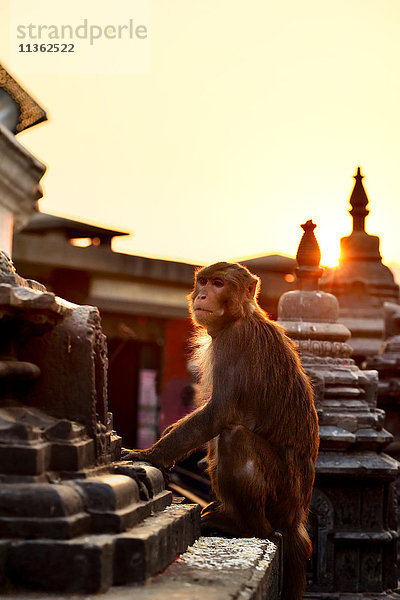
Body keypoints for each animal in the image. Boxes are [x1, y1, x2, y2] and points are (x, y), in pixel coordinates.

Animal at [122, 262, 318, 600]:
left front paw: (150, 455)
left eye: (218, 283)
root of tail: (297, 516)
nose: (201, 295)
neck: (241, 317)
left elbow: (220, 413)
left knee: (234, 437)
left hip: (281, 493)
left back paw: (246, 527)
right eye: (202, 282)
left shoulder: (234, 341)